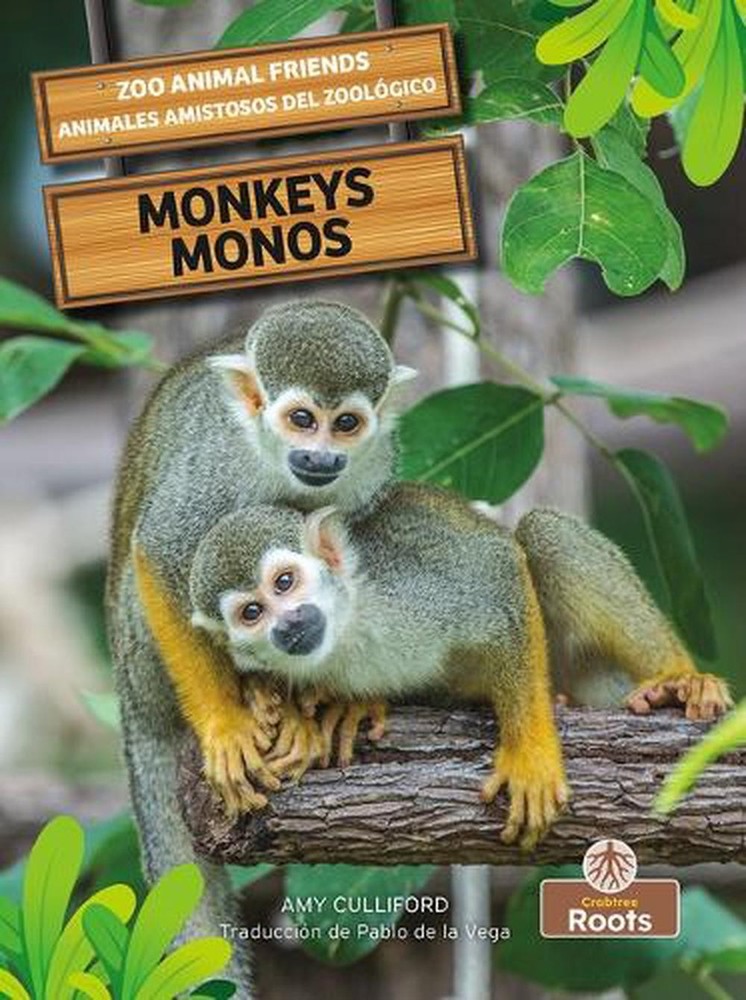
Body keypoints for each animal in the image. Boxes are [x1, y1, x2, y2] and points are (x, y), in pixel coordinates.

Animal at [106, 301, 415, 991]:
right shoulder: (213, 466)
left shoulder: (372, 467)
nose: (320, 458)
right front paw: (225, 724)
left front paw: (340, 700)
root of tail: (130, 703)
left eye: (345, 424)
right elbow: (159, 555)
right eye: (301, 419)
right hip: (140, 658)